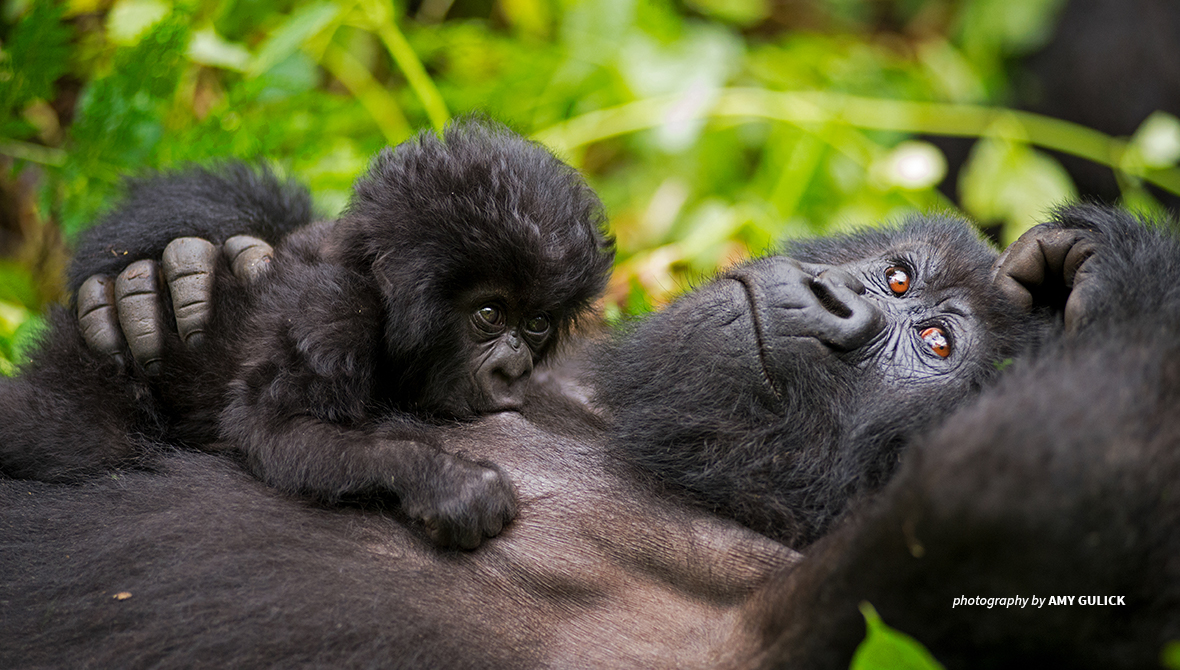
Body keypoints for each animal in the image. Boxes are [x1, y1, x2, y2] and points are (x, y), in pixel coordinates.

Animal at [0, 206, 1175, 665]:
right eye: (896, 279)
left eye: (932, 343)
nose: (835, 300)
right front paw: (175, 285)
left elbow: (1017, 500)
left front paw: (1115, 279)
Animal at [9, 120, 613, 549]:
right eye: (490, 314)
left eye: (536, 324)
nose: (515, 366)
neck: (376, 293)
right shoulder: (334, 317)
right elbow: (280, 428)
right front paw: (450, 482)